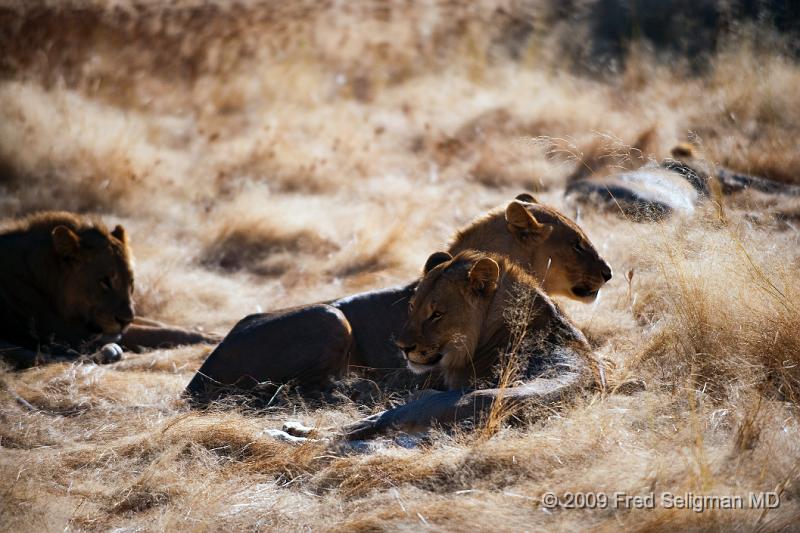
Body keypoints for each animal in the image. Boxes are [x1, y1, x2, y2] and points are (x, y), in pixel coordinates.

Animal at [0, 210, 219, 368]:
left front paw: (204, 330)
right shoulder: (73, 332)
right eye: (105, 281)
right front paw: (212, 338)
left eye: (131, 282)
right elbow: (159, 332)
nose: (125, 320)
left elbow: (157, 323)